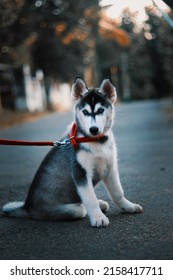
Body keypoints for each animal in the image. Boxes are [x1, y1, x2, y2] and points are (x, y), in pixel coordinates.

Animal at [2, 77, 143, 226]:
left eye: (100, 110)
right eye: (85, 112)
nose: (93, 129)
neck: (95, 142)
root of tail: (27, 206)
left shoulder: (110, 167)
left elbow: (118, 192)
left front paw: (129, 206)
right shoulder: (80, 172)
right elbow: (90, 199)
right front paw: (98, 217)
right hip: (66, 210)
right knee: (82, 209)